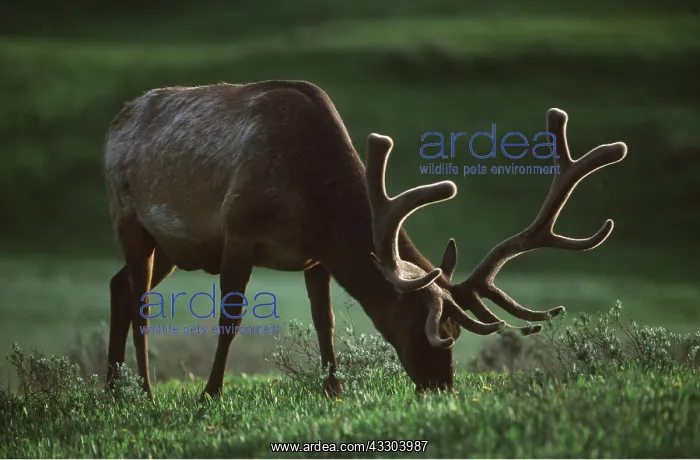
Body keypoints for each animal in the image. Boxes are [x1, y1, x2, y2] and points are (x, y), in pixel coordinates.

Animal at [103, 80, 627, 400]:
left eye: (457, 333)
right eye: (430, 329)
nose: (442, 387)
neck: (313, 201)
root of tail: (114, 123)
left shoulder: (315, 257)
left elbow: (326, 323)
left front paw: (333, 390)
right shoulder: (238, 230)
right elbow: (229, 320)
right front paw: (210, 395)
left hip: (169, 247)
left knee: (119, 286)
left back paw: (111, 389)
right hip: (128, 217)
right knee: (140, 302)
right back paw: (145, 391)